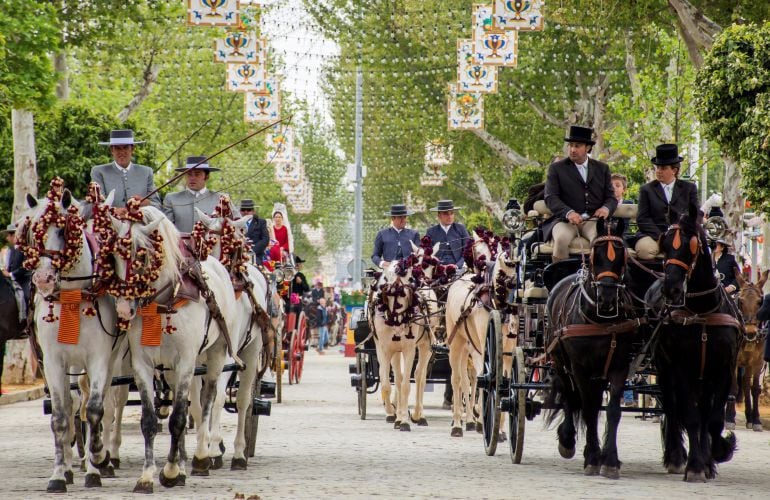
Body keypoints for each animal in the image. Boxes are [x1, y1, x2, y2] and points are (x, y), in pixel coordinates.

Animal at [15, 185, 121, 492]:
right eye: (32, 231)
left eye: (64, 230)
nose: (43, 279)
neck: (73, 295)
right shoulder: (51, 361)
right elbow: (61, 416)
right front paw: (59, 475)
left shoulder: (99, 358)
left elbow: (96, 410)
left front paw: (96, 464)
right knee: (75, 405)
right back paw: (74, 465)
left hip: (112, 360)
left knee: (103, 405)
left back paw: (99, 460)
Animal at [105, 204, 237, 492]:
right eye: (114, 256)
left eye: (141, 256)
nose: (123, 309)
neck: (164, 301)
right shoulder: (142, 364)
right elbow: (149, 420)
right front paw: (146, 476)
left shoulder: (186, 361)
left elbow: (178, 418)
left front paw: (171, 471)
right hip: (172, 369)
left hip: (215, 353)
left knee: (207, 400)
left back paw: (201, 457)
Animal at [192, 207, 270, 468]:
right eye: (208, 239)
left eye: (230, 241)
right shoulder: (195, 357)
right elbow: (197, 402)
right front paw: (202, 446)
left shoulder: (226, 354)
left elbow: (216, 399)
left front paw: (214, 448)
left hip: (252, 351)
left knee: (243, 400)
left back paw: (238, 453)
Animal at [544, 218, 640, 476]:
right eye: (595, 255)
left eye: (622, 255)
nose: (606, 296)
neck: (601, 319)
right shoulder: (580, 367)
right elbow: (587, 408)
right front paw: (593, 458)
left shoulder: (619, 366)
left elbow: (612, 410)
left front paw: (610, 460)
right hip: (560, 362)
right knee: (569, 395)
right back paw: (568, 441)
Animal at [648, 203, 736, 480]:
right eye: (665, 243)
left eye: (693, 245)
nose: (672, 289)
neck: (703, 310)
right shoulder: (680, 367)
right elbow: (691, 416)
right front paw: (696, 465)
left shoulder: (724, 369)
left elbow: (714, 420)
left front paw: (715, 455)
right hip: (664, 369)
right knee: (672, 408)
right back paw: (676, 457)